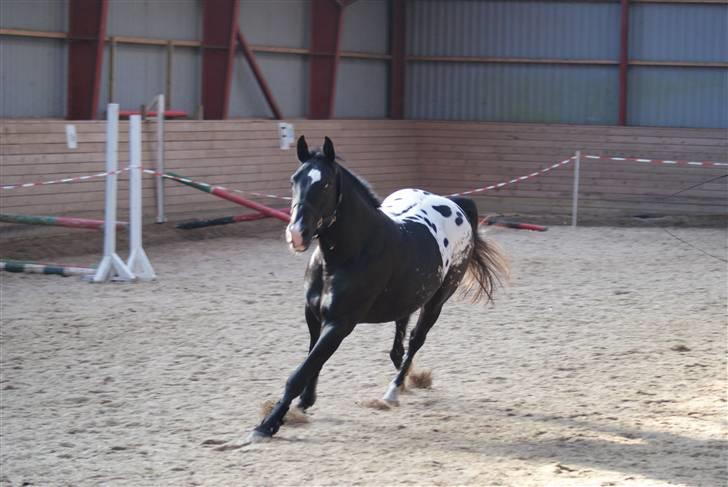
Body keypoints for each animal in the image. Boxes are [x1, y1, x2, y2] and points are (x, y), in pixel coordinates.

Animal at [219, 134, 510, 450]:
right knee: (399, 345)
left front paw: (267, 425)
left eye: (325, 184)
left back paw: (394, 391)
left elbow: (301, 371)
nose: (296, 234)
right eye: (293, 180)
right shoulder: (313, 316)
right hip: (407, 299)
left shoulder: (340, 324)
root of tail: (455, 204)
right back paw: (405, 379)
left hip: (436, 301)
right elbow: (312, 362)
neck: (349, 254)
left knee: (415, 340)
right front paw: (304, 403)